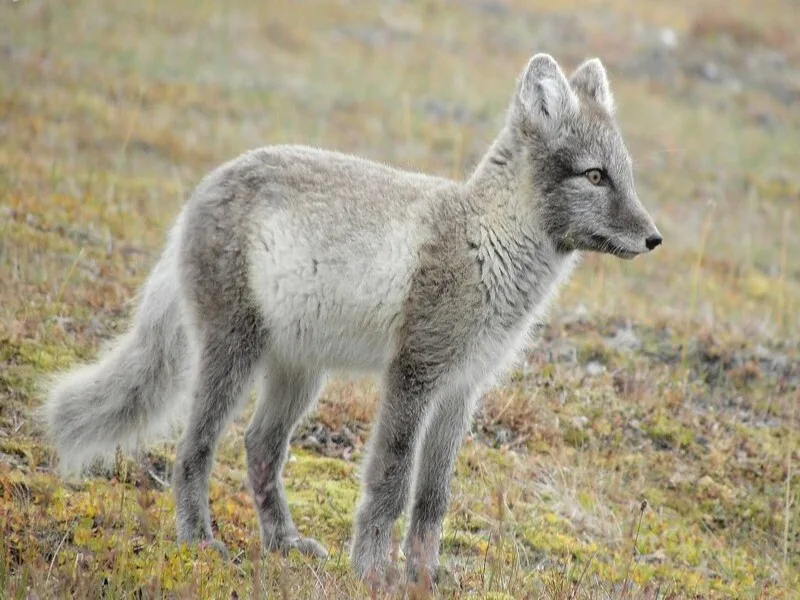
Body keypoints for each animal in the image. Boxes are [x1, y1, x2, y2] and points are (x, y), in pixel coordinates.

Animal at [39, 54, 664, 584]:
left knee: (260, 448)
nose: (655, 239)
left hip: (299, 373)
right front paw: (371, 571)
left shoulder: (462, 390)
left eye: (626, 174)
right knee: (193, 450)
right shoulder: (413, 376)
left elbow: (433, 497)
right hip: (232, 354)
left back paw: (283, 543)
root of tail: (203, 187)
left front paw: (424, 576)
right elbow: (390, 482)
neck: (487, 244)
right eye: (595, 176)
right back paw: (199, 540)